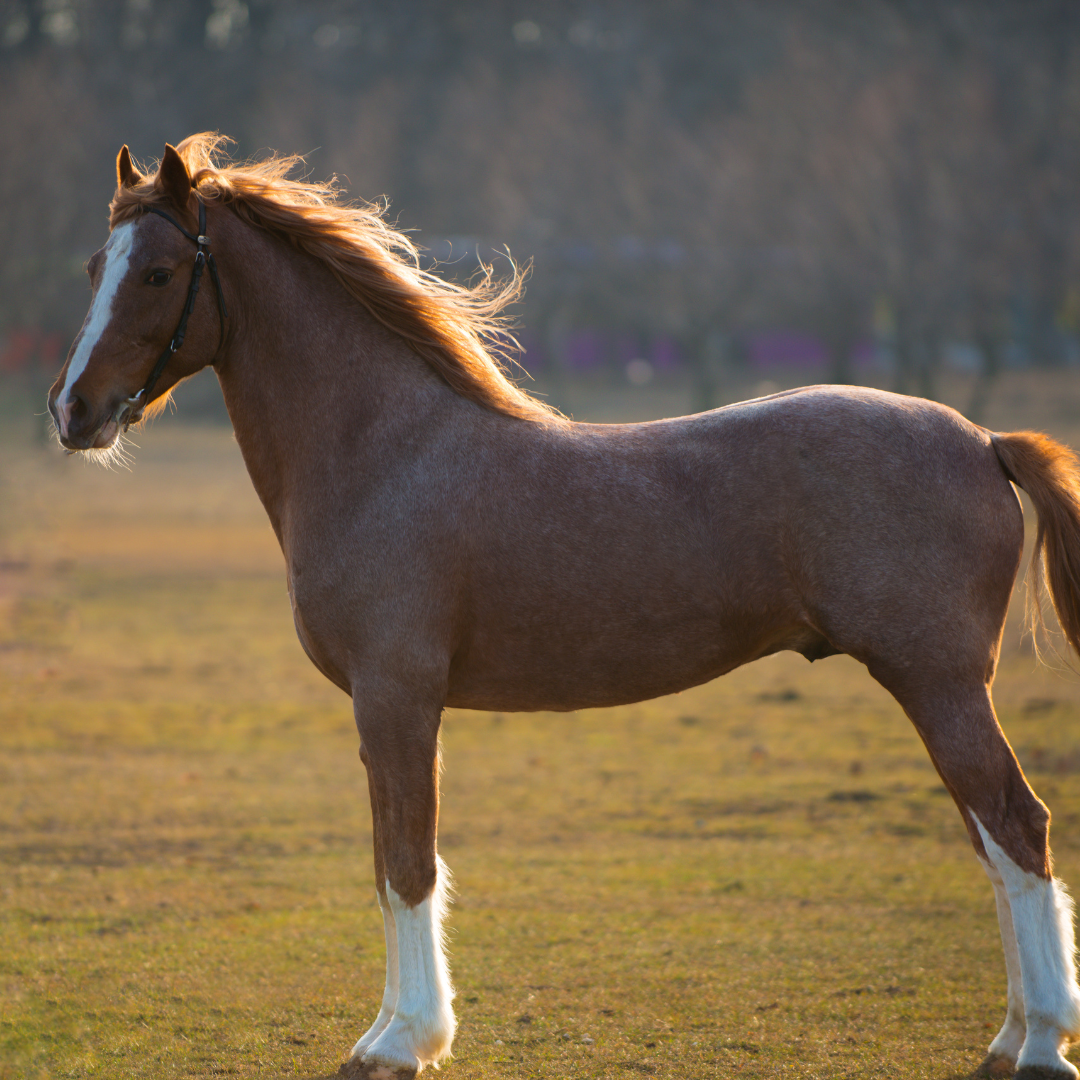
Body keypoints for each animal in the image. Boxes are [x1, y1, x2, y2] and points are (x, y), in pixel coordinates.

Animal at [47, 134, 1080, 1080]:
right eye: (96, 267)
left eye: (158, 272)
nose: (71, 410)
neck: (383, 451)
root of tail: (984, 439)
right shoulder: (386, 709)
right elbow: (387, 860)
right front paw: (388, 1034)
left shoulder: (396, 698)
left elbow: (407, 865)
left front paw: (404, 1042)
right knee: (992, 841)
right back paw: (1006, 1042)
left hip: (940, 684)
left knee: (1017, 828)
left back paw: (1041, 1047)